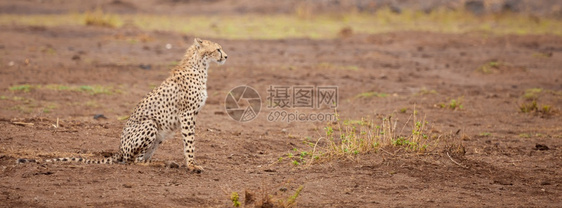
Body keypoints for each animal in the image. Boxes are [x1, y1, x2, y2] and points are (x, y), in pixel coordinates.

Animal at [18, 38, 228, 173]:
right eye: (217, 49)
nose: (226, 56)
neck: (200, 65)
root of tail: (119, 149)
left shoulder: (190, 114)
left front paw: (189, 164)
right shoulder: (187, 114)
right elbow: (190, 143)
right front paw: (192, 165)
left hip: (157, 136)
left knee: (138, 158)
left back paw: (164, 163)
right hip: (150, 124)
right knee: (132, 162)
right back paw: (158, 165)